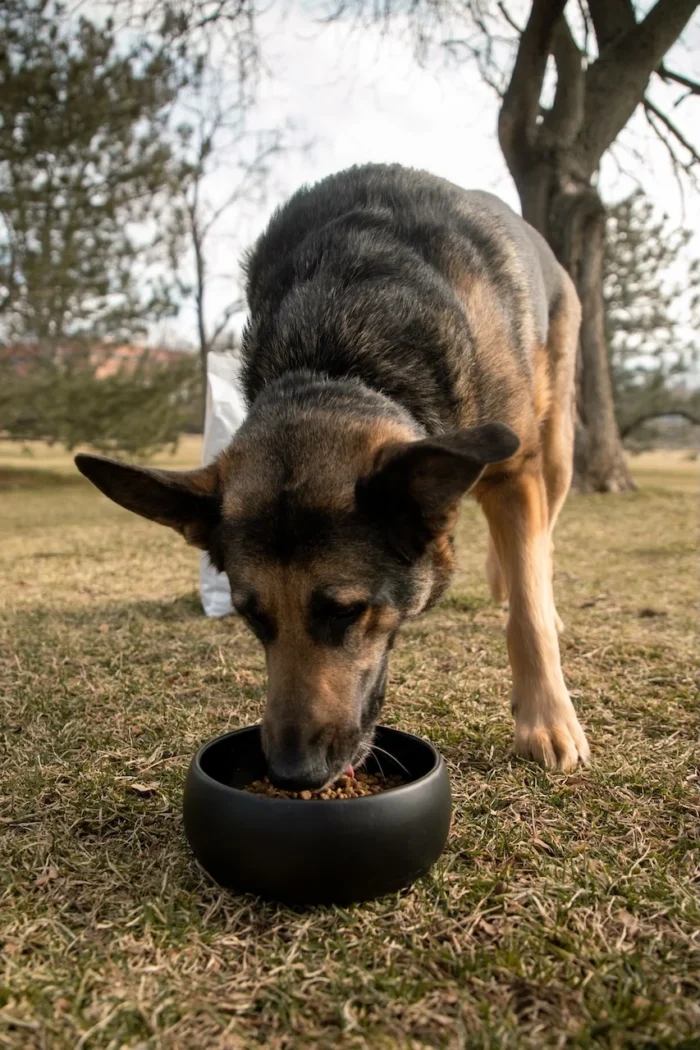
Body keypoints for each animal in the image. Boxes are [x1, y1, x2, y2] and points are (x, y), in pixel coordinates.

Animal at [76, 163, 591, 789]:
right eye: (250, 615)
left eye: (346, 612)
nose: (292, 774)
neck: (342, 353)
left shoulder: (516, 472)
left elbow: (530, 614)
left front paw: (547, 720)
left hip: (556, 448)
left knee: (541, 543)